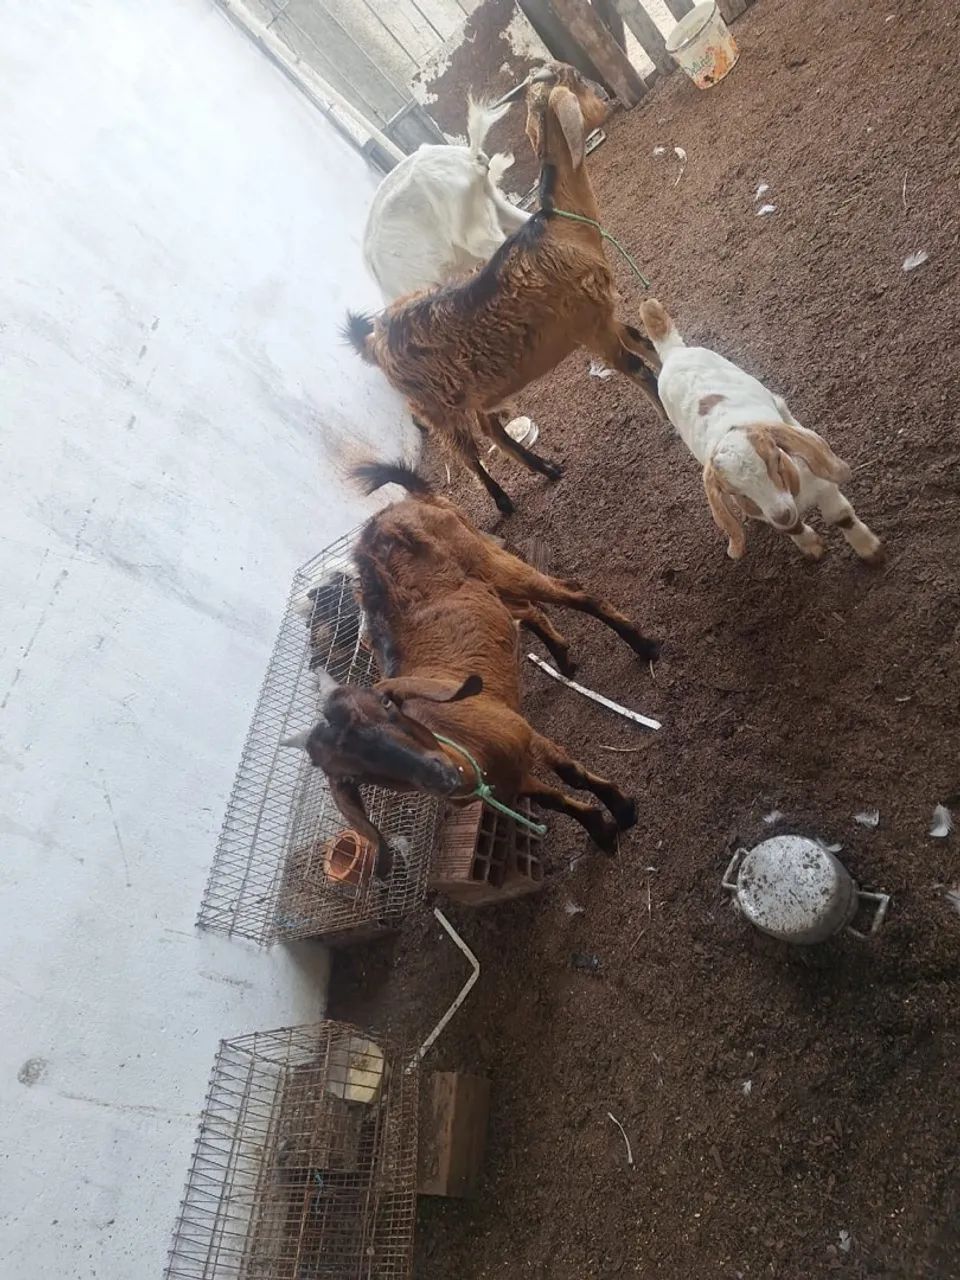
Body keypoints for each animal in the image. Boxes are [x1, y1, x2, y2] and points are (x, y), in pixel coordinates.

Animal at [281, 461, 660, 873]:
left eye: (386, 707)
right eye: (352, 776)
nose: (439, 775)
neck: (466, 751)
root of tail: (397, 507)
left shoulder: (523, 733)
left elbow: (570, 774)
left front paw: (623, 810)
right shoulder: (511, 781)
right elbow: (554, 800)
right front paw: (600, 830)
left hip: (487, 558)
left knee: (574, 593)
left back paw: (644, 647)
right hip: (486, 589)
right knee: (527, 611)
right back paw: (564, 660)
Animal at [639, 299, 883, 563]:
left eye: (776, 460)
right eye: (736, 492)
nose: (783, 514)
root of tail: (672, 352)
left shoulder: (822, 484)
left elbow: (840, 516)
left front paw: (870, 550)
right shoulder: (765, 511)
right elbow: (793, 528)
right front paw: (812, 548)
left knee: (784, 409)